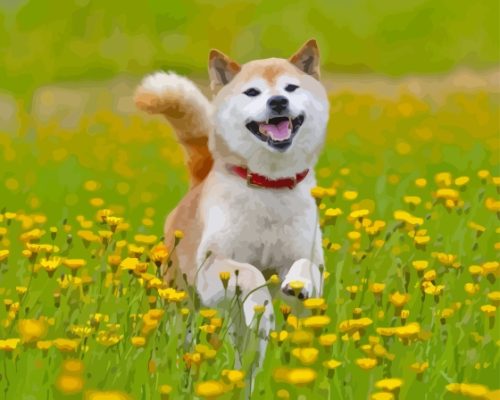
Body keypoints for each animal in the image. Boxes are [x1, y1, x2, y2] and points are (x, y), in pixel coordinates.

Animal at [137, 38, 330, 360]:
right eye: (252, 92)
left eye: (291, 87)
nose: (278, 102)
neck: (269, 186)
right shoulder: (212, 268)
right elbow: (250, 272)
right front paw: (262, 309)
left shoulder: (307, 265)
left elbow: (305, 266)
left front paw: (296, 284)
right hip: (181, 301)